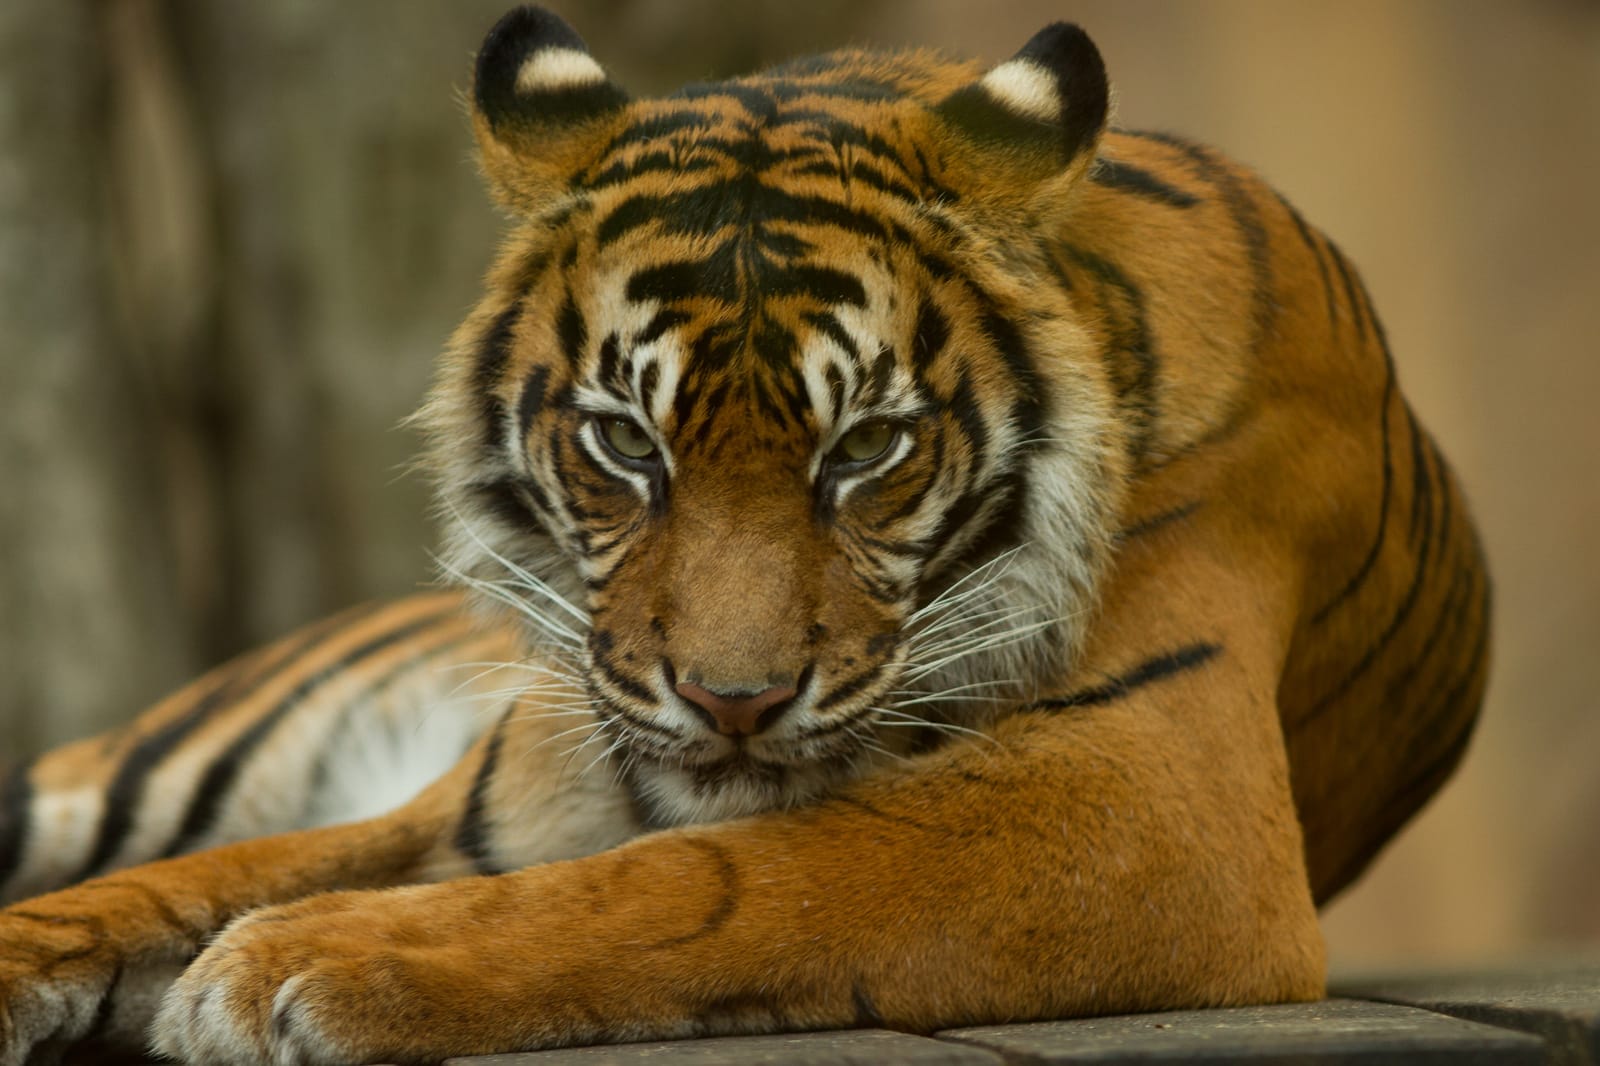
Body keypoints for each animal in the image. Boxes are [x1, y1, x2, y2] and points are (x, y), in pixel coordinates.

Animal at [0, 6, 1490, 1065]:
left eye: (866, 451)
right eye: (624, 442)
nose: (733, 702)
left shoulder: (1151, 800)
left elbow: (699, 876)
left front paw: (286, 963)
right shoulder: (481, 799)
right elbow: (174, 883)